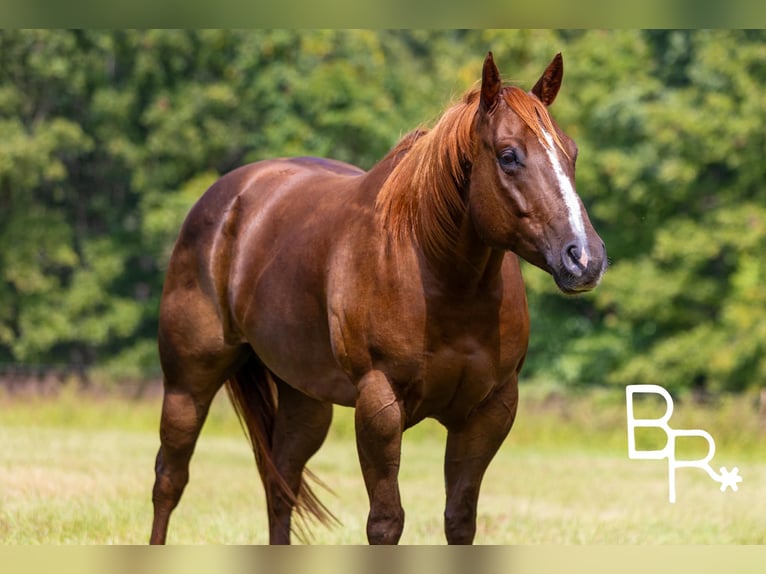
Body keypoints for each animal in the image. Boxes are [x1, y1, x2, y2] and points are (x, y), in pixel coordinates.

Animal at [149, 51, 607, 545]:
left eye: (571, 152)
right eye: (508, 156)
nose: (585, 258)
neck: (442, 280)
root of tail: (228, 197)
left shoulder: (490, 411)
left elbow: (460, 520)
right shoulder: (379, 406)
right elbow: (386, 523)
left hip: (304, 399)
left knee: (280, 484)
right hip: (187, 385)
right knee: (170, 479)